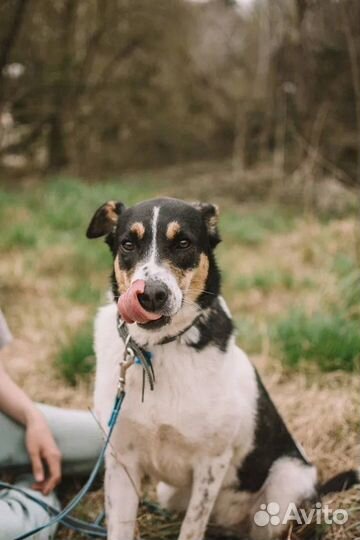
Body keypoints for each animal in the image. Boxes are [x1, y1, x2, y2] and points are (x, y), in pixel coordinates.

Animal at [86, 198, 358, 540]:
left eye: (184, 243)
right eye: (128, 244)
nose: (150, 295)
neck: (159, 348)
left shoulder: (211, 461)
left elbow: (191, 528)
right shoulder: (121, 459)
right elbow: (120, 527)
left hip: (286, 485)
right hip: (168, 492)